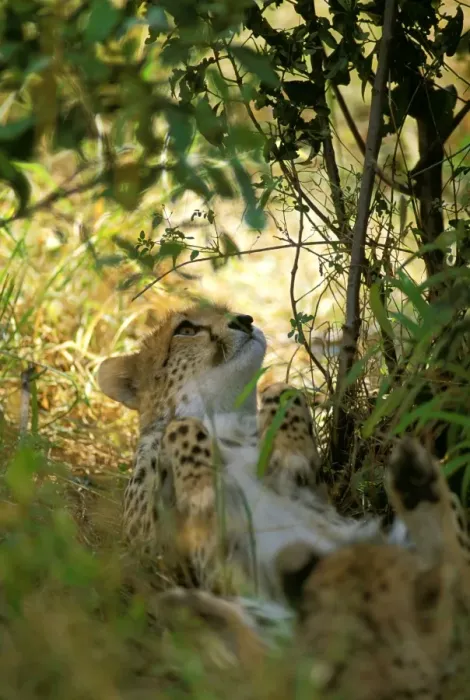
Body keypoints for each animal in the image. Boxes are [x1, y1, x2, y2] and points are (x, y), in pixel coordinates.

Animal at [98, 303, 408, 598]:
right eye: (185, 330)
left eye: (225, 310)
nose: (244, 320)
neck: (223, 412)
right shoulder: (166, 560)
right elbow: (180, 427)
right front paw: (203, 487)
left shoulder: (313, 491)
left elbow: (281, 388)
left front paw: (288, 449)